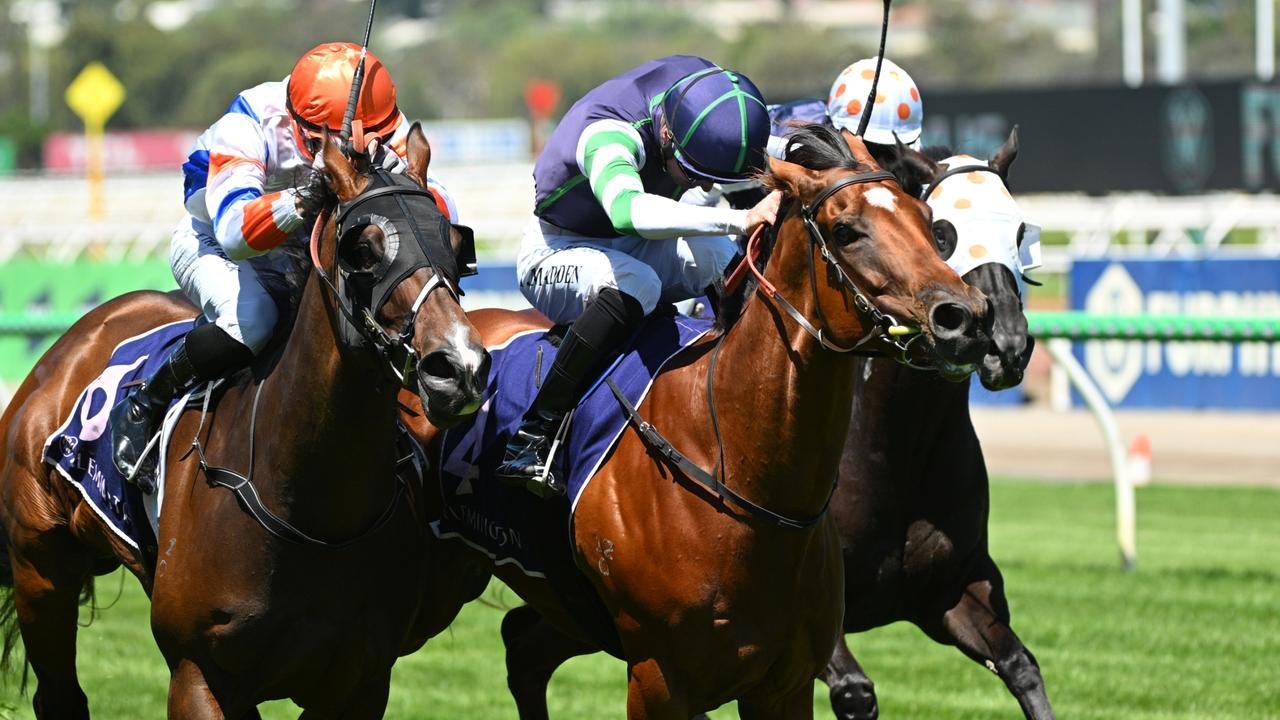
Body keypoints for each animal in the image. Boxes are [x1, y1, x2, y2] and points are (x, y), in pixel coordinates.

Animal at [0, 126, 486, 712]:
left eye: (456, 244)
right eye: (364, 249)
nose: (458, 368)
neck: (310, 514)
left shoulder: (360, 682)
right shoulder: (199, 672)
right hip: (40, 568)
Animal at [407, 126, 988, 712]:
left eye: (927, 220)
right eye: (845, 230)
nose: (965, 317)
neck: (736, 467)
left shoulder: (788, 682)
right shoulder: (657, 679)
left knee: (522, 647)